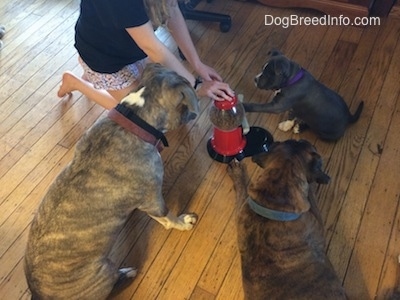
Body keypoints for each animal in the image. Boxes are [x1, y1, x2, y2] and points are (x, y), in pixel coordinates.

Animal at [24, 63, 199, 300]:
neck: (135, 119)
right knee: (113, 282)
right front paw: (183, 222)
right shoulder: (153, 199)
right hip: (103, 271)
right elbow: (168, 217)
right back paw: (127, 272)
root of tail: (38, 294)